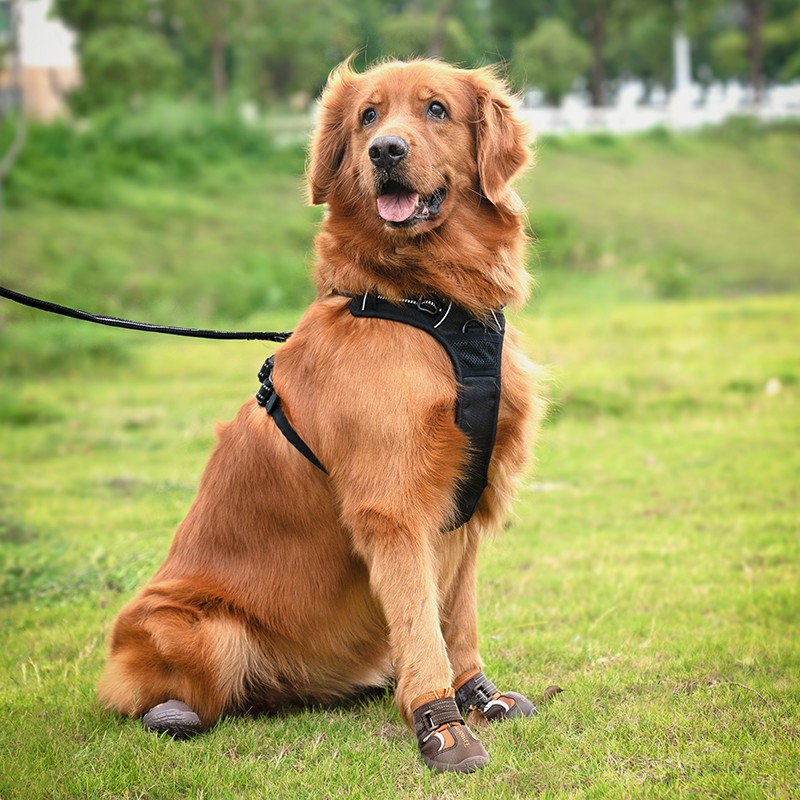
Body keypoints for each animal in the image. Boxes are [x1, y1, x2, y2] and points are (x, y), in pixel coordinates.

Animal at [97, 57, 540, 776]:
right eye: (368, 116)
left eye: (436, 109)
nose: (385, 151)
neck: (431, 303)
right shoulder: (393, 510)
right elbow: (423, 626)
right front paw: (441, 726)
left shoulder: (472, 501)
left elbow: (458, 618)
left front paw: (479, 694)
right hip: (202, 627)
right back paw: (179, 711)